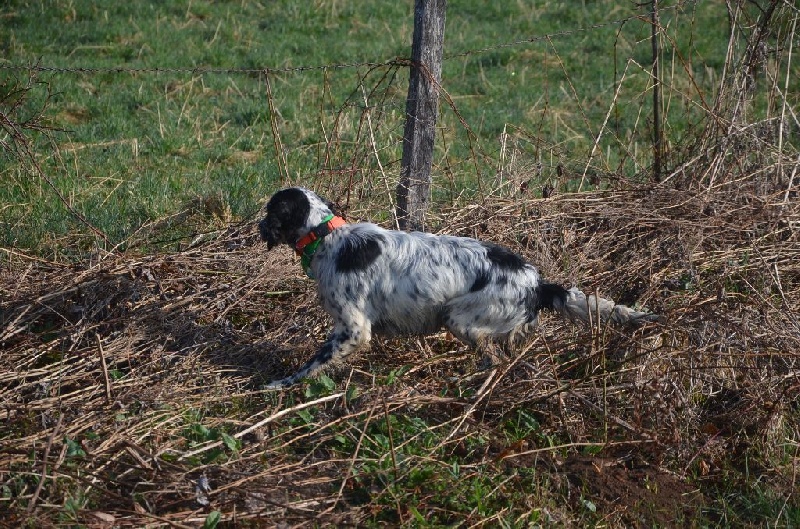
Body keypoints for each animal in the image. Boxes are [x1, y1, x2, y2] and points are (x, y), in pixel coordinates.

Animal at [260, 187, 660, 388]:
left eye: (269, 211)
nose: (260, 226)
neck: (326, 238)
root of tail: (537, 282)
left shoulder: (353, 329)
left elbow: (312, 365)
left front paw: (281, 385)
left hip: (459, 317)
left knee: (494, 361)